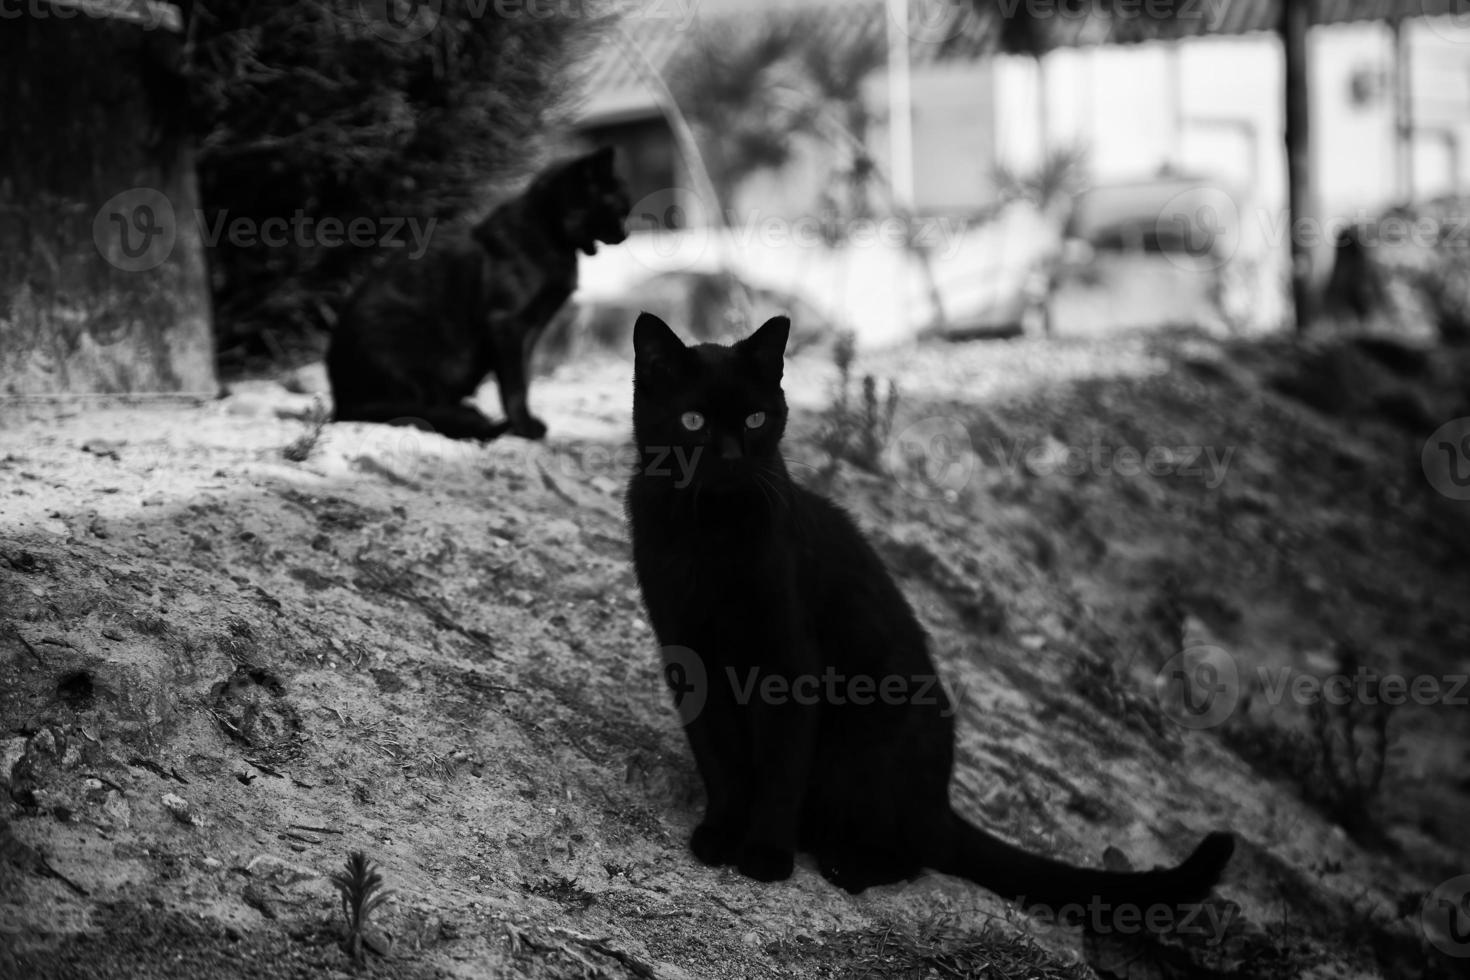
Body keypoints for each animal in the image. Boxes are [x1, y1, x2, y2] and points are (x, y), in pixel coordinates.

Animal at [330, 147, 629, 443]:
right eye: (620, 208)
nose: (625, 234)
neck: (550, 235)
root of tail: (342, 400)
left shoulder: (530, 329)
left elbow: (524, 375)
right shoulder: (506, 323)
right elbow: (515, 384)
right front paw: (524, 427)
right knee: (409, 405)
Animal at [626, 315, 1234, 922]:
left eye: (755, 419)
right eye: (693, 421)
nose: (731, 458)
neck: (709, 532)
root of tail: (942, 804)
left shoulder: (788, 662)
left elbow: (780, 767)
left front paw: (765, 855)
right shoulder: (688, 657)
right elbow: (719, 758)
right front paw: (720, 834)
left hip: (863, 750)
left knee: (913, 853)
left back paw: (847, 866)